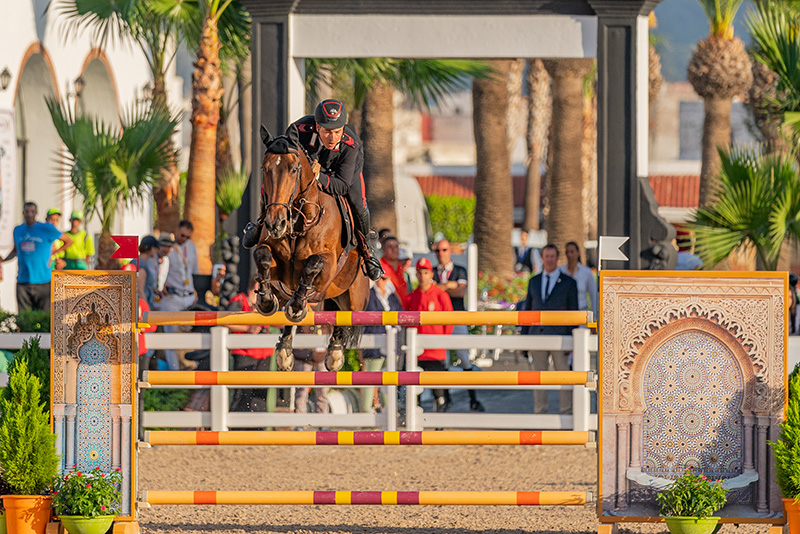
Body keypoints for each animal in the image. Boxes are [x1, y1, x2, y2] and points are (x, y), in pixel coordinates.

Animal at [245, 126, 370, 372]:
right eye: (264, 168)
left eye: (294, 169)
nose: (275, 224)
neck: (299, 223)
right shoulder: (278, 268)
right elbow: (262, 255)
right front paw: (265, 301)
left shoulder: (327, 265)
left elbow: (314, 264)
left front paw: (297, 306)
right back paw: (284, 352)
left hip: (354, 298)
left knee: (343, 317)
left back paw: (335, 354)